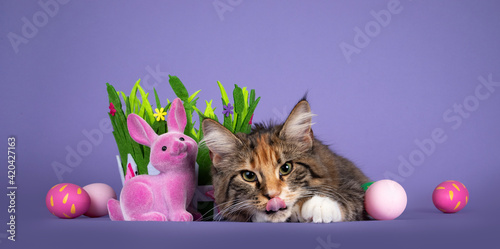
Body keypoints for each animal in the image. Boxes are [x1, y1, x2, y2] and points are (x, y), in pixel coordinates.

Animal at [201, 98, 370, 223]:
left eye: (286, 168)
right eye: (248, 176)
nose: (273, 196)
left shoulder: (355, 185)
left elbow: (349, 196)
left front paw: (321, 204)